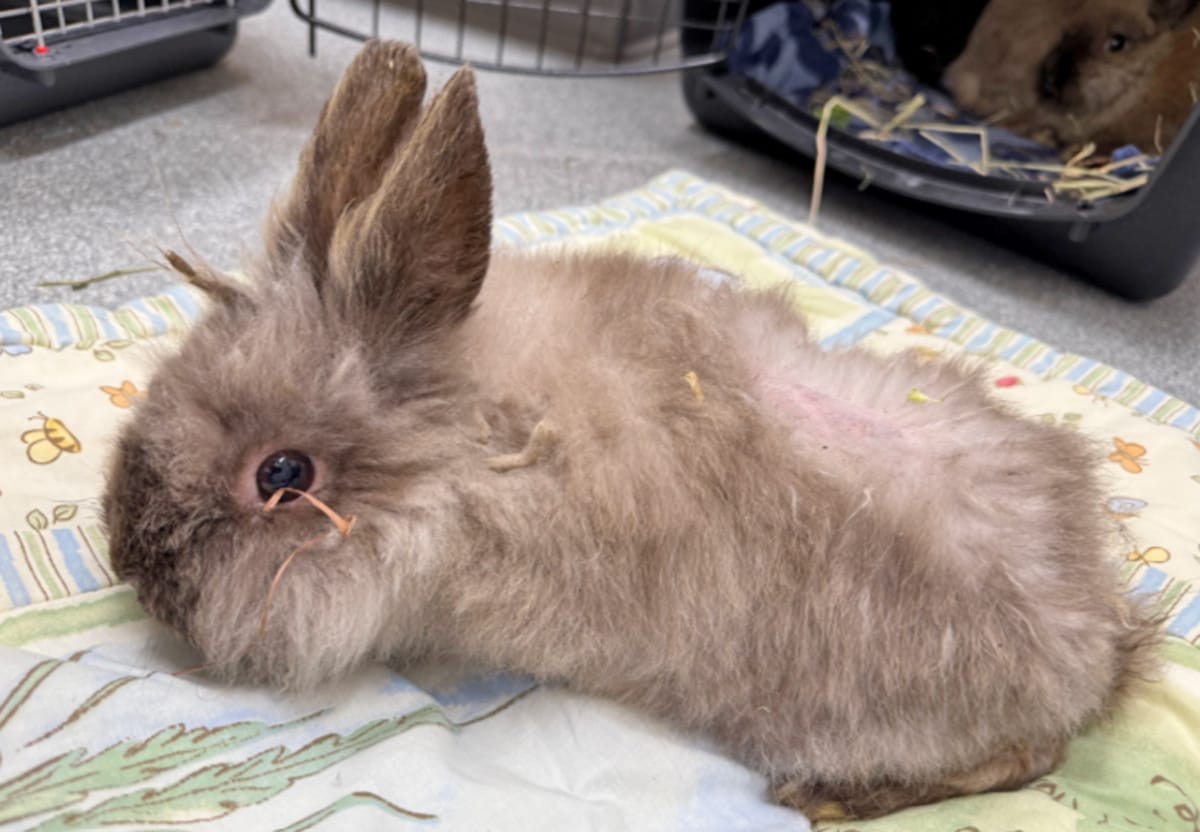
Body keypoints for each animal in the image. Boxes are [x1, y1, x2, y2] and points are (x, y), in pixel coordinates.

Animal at [102, 41, 1161, 821]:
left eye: (282, 474)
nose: (134, 567)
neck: (469, 440)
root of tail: (1100, 642)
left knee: (1022, 759)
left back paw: (827, 798)